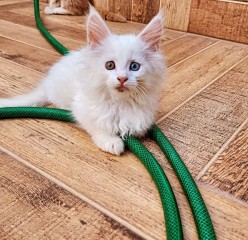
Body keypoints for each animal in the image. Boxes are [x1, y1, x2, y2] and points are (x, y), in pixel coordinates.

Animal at [0, 6, 167, 156]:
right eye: (110, 65)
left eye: (134, 66)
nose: (122, 78)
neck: (120, 103)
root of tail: (47, 83)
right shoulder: (81, 108)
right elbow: (96, 125)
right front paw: (110, 141)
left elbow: (137, 127)